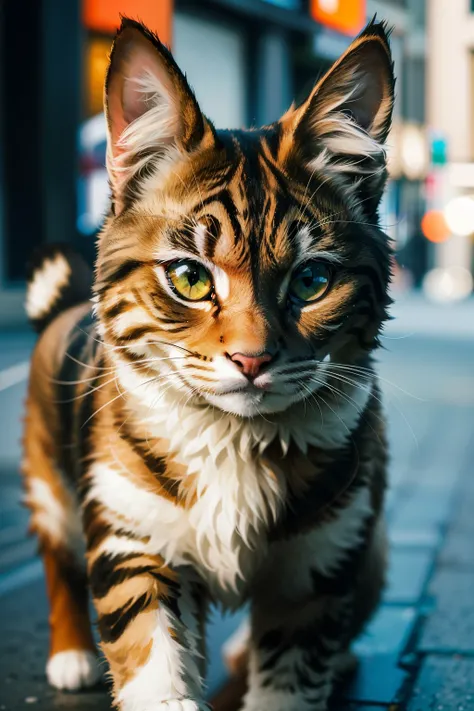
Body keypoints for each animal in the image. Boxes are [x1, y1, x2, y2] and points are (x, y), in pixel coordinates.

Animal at [22, 15, 392, 711]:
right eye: (191, 278)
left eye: (312, 281)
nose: (251, 359)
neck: (236, 440)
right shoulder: (133, 540)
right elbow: (156, 670)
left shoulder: (319, 570)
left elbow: (290, 681)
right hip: (49, 483)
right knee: (57, 562)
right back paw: (71, 655)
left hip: (374, 549)